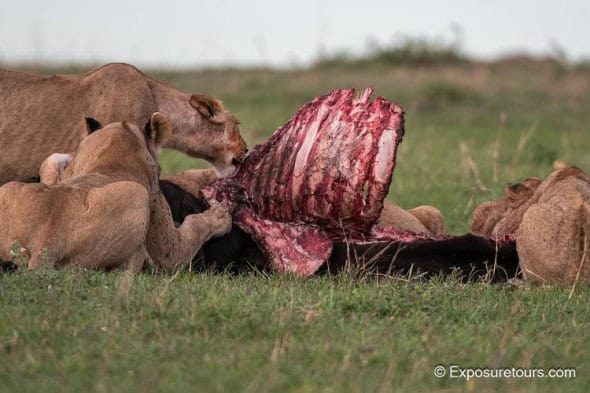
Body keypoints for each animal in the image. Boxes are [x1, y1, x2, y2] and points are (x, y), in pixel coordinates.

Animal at [0, 112, 232, 268]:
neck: (115, 158)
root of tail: (45, 246)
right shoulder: (168, 254)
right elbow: (194, 227)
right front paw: (221, 215)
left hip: (8, 188)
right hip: (137, 194)